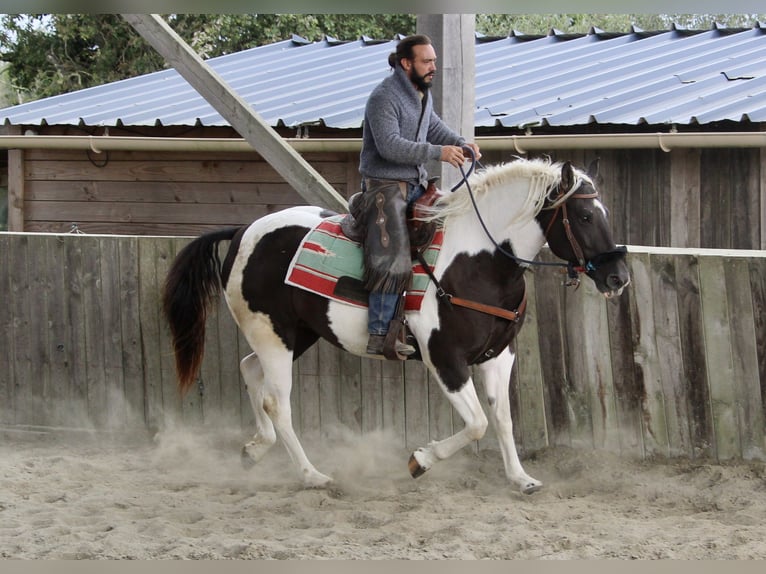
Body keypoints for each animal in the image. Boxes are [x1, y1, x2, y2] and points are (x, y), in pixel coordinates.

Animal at [162, 156, 632, 496]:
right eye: (585, 216)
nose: (618, 277)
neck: (476, 261)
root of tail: (243, 231)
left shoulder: (499, 356)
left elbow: (501, 418)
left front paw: (520, 479)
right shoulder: (445, 359)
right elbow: (477, 423)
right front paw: (420, 460)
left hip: (295, 335)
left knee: (250, 371)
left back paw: (255, 450)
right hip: (273, 335)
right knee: (278, 402)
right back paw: (313, 475)